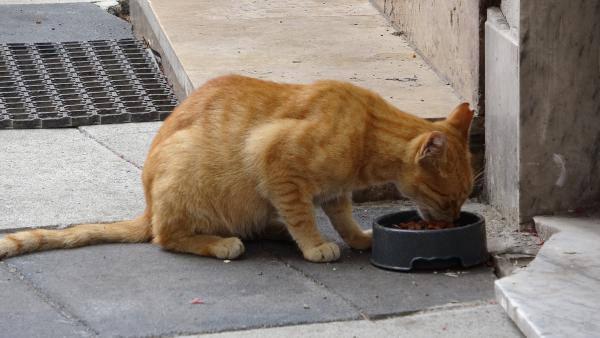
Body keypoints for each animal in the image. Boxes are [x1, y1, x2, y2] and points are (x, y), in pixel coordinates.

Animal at [0, 75, 474, 262]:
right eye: (448, 197)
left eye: (463, 199)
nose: (453, 218)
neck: (367, 131)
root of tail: (148, 205)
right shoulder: (274, 159)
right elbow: (303, 214)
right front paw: (315, 245)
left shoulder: (335, 191)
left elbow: (340, 214)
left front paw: (356, 237)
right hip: (185, 186)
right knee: (165, 237)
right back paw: (221, 243)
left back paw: (270, 229)